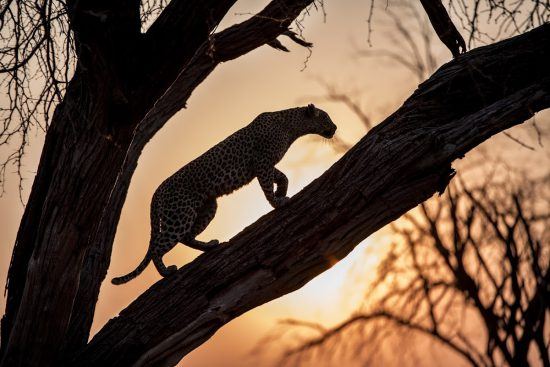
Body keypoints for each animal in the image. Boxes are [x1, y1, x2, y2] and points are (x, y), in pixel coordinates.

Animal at [111, 103, 336, 284]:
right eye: (326, 117)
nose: (335, 128)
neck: (291, 127)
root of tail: (157, 191)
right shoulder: (262, 163)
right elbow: (267, 188)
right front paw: (277, 203)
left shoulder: (266, 165)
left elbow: (283, 177)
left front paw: (282, 192)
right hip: (179, 215)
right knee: (158, 246)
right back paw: (166, 272)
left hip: (207, 207)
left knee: (187, 236)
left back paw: (209, 246)